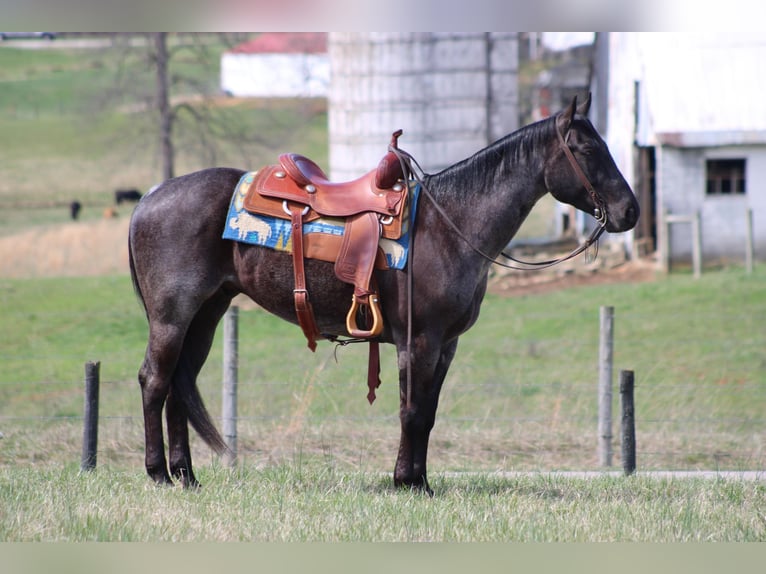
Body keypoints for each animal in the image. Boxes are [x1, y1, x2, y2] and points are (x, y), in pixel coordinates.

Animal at [127, 95, 640, 496]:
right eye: (586, 148)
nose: (630, 211)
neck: (450, 223)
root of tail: (150, 196)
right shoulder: (419, 341)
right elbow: (411, 412)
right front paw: (408, 484)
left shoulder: (446, 345)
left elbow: (427, 413)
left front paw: (419, 480)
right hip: (172, 316)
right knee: (155, 380)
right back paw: (158, 474)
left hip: (206, 313)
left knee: (180, 383)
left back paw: (187, 476)